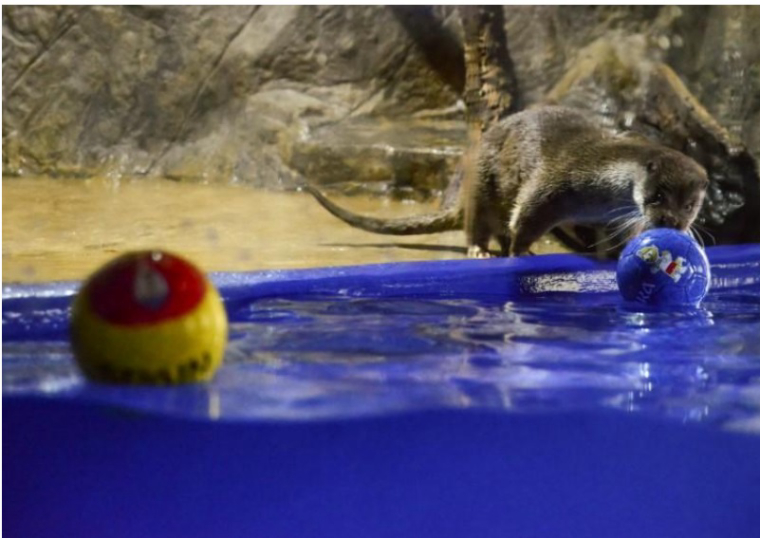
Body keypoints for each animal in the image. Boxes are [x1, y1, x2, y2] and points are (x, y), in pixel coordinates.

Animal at [305, 106, 709, 257]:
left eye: (690, 205)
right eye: (658, 196)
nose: (673, 222)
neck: (602, 181)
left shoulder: (611, 217)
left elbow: (612, 239)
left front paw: (611, 257)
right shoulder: (554, 184)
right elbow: (527, 216)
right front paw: (520, 254)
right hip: (480, 185)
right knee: (480, 225)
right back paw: (481, 250)